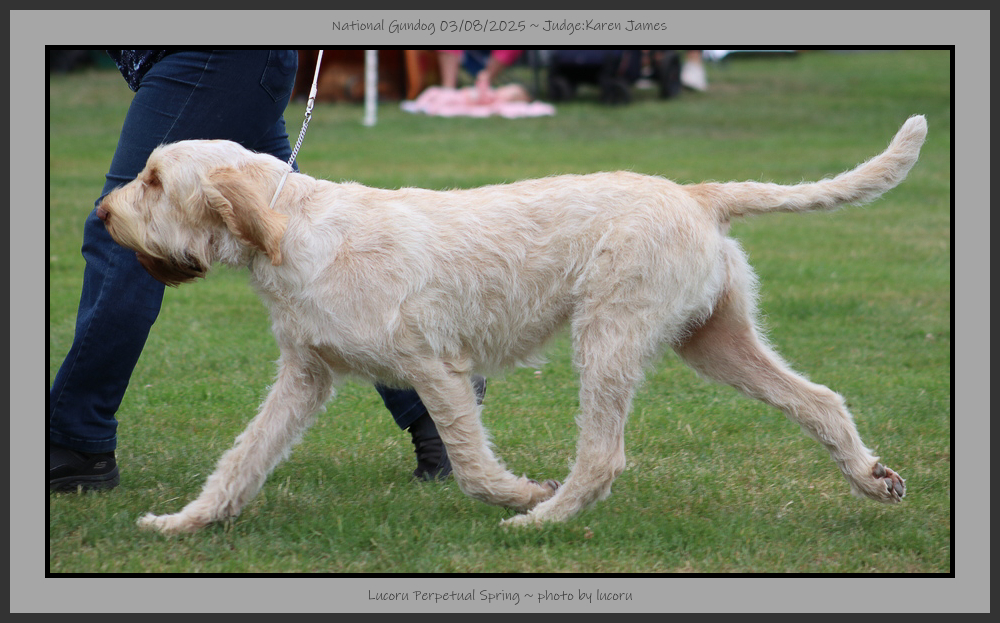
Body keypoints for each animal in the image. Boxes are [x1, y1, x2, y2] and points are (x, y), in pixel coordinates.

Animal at [97, 116, 925, 534]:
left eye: (155, 180)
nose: (102, 213)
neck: (296, 230)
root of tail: (696, 194)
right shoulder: (306, 376)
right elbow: (243, 458)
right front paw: (185, 522)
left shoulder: (436, 367)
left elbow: (470, 464)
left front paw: (520, 494)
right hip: (715, 341)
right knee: (820, 401)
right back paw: (870, 478)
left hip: (610, 337)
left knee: (603, 456)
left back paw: (544, 519)